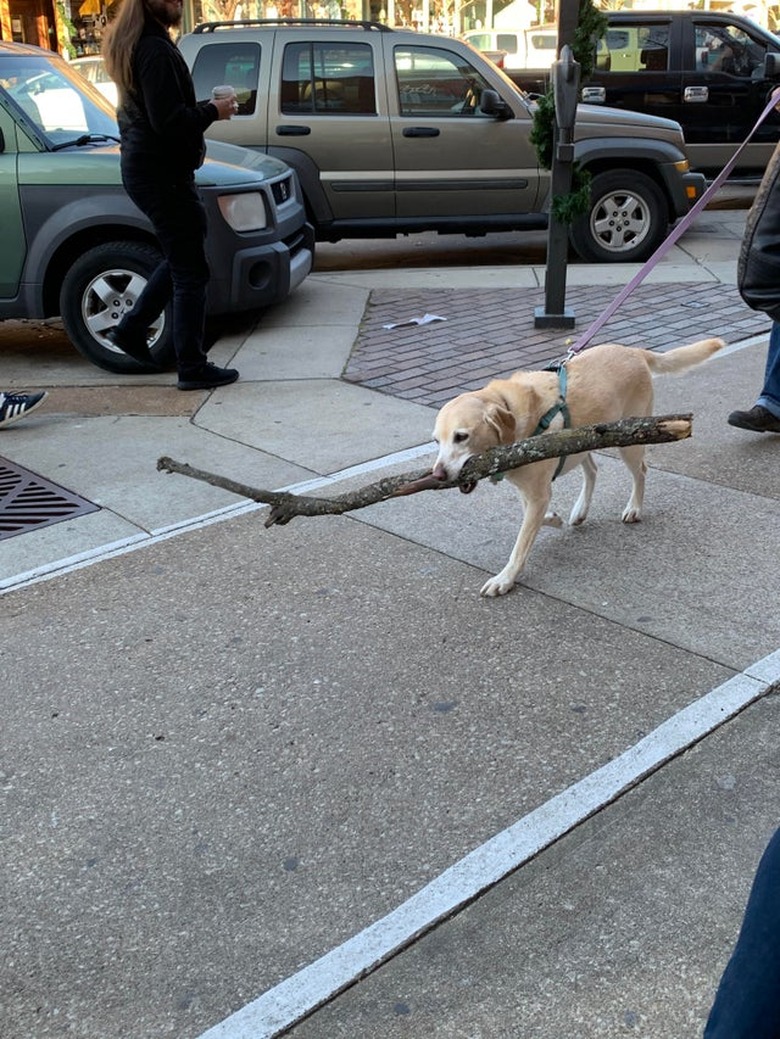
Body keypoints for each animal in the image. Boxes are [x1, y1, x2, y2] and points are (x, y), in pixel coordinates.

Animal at [429, 338, 722, 598]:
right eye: (436, 441)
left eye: (461, 436)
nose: (438, 475)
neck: (510, 411)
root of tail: (635, 351)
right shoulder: (529, 490)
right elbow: (533, 517)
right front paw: (554, 518)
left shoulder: (538, 493)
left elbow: (521, 543)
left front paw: (505, 579)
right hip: (582, 441)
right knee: (592, 469)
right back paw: (580, 510)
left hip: (629, 441)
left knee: (641, 471)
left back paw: (634, 508)